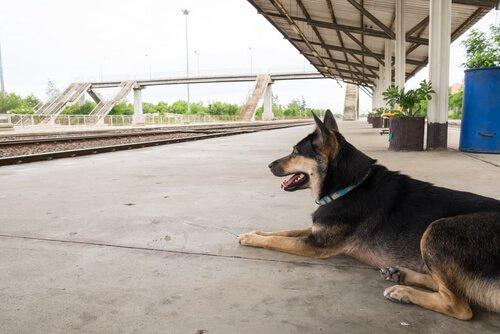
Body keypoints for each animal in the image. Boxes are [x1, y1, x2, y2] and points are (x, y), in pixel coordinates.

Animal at [238, 111, 500, 320]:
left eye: (294, 152)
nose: (269, 165)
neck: (349, 186)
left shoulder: (316, 245)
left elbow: (277, 239)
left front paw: (252, 239)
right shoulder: (317, 230)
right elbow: (283, 231)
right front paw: (254, 232)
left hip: (437, 229)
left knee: (458, 305)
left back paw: (404, 292)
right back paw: (401, 274)